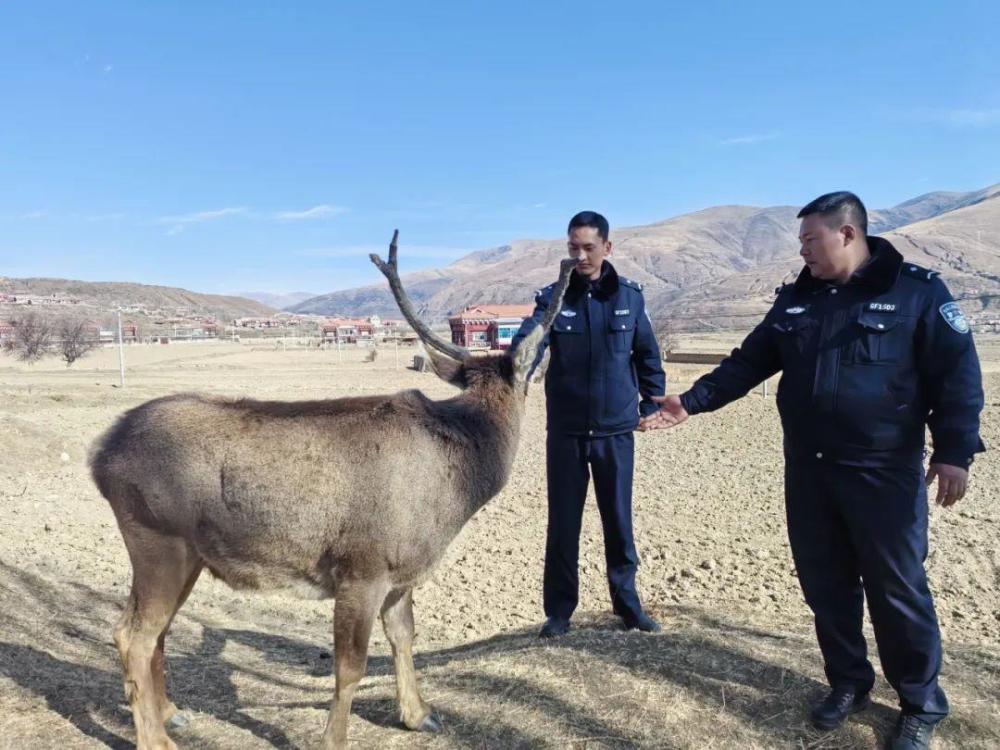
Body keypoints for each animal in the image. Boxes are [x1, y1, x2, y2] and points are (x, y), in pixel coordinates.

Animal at [92, 232, 580, 748]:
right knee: (133, 634)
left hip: (188, 555)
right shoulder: (362, 567)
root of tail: (100, 455)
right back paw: (155, 737)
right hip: (156, 538)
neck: (458, 483)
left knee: (152, 632)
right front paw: (334, 738)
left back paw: (171, 714)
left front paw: (418, 713)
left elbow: (404, 637)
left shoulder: (400, 573)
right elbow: (350, 667)